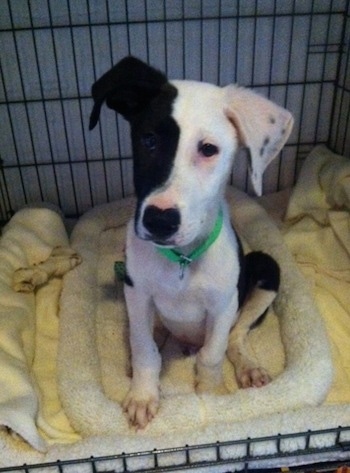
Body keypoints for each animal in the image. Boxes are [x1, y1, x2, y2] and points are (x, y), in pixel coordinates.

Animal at [90, 57, 292, 430]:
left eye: (209, 149)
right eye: (149, 140)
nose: (159, 221)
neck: (181, 258)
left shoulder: (224, 305)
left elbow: (213, 354)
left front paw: (211, 395)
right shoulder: (137, 295)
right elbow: (144, 350)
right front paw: (143, 395)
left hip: (267, 269)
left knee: (236, 337)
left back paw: (248, 367)